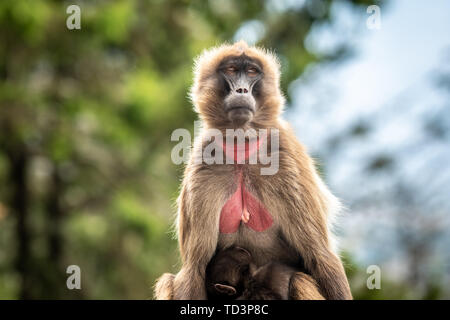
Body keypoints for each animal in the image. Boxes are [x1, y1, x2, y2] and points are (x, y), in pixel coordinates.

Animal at [155, 42, 352, 300]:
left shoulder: (285, 156)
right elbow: (194, 268)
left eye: (251, 72)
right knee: (169, 281)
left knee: (300, 279)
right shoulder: (203, 163)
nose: (241, 90)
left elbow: (321, 256)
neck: (242, 151)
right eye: (230, 69)